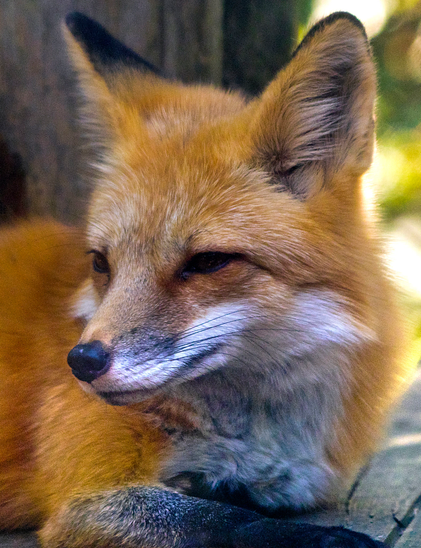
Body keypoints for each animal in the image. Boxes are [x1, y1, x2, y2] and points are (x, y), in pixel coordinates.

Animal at [0, 10, 412, 544]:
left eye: (208, 262)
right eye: (101, 263)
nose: (82, 362)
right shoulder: (87, 500)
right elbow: (225, 520)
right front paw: (330, 538)